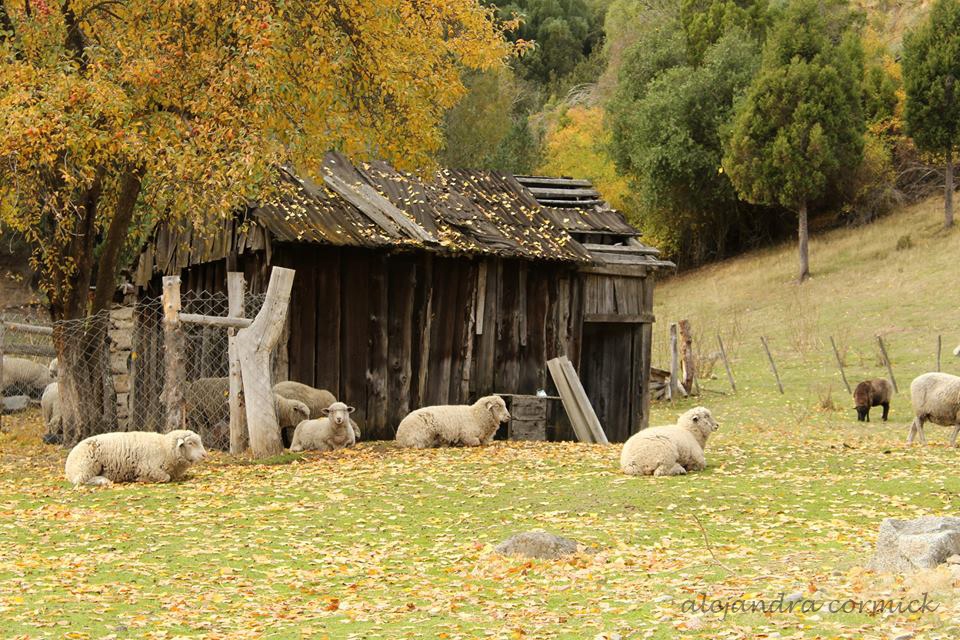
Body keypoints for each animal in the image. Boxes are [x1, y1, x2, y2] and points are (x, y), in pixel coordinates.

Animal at [65, 428, 206, 488]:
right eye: (190, 443)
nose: (205, 455)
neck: (165, 448)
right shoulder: (148, 468)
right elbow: (166, 477)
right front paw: (140, 479)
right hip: (88, 466)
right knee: (81, 480)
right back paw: (102, 481)